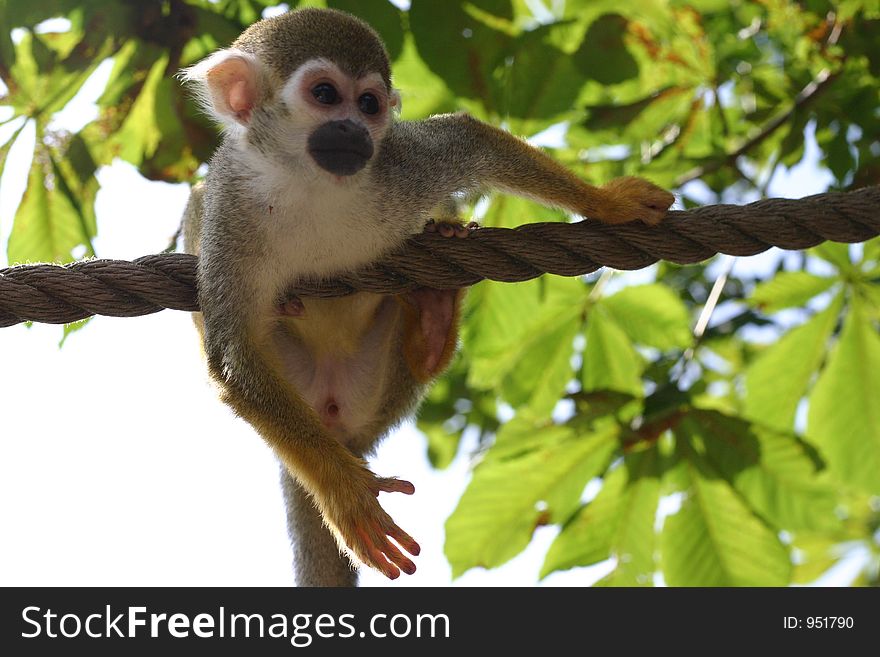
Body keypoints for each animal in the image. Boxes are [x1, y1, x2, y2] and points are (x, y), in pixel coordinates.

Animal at [180, 9, 672, 584]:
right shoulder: (231, 206)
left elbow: (470, 138)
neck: (311, 185)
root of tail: (339, 430)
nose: (353, 128)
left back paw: (432, 322)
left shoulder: (397, 163)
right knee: (196, 208)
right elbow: (233, 357)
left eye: (369, 103)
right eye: (325, 94)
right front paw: (345, 493)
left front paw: (609, 202)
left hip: (376, 390)